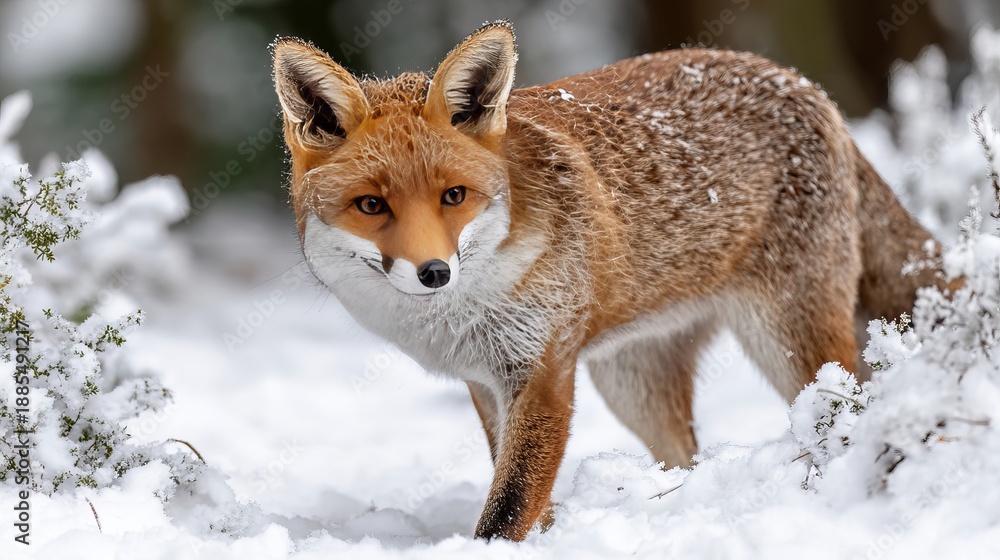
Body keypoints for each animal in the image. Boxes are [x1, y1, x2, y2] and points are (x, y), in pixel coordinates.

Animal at [270, 21, 952, 541]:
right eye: (371, 206)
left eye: (454, 197)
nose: (434, 272)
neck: (463, 311)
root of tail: (804, 84)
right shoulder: (486, 380)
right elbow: (523, 493)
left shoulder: (543, 369)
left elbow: (509, 506)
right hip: (634, 384)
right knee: (685, 459)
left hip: (791, 343)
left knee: (851, 409)